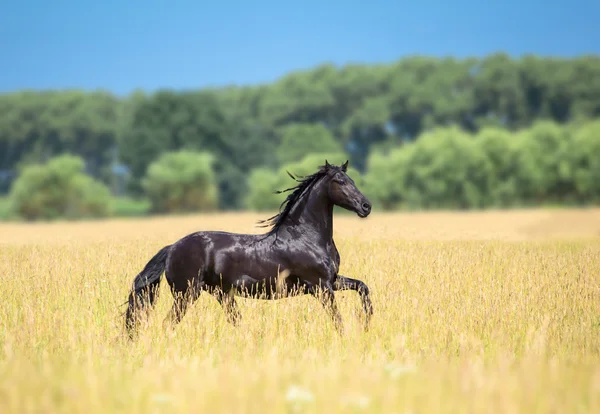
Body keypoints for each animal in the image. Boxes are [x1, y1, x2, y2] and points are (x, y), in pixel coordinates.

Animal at [124, 160, 372, 338]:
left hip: (221, 294)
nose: (366, 206)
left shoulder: (332, 281)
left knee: (234, 322)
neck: (306, 237)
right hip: (186, 294)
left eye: (352, 179)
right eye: (340, 181)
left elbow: (363, 287)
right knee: (168, 324)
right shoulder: (321, 287)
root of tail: (172, 248)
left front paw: (367, 321)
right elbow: (337, 319)